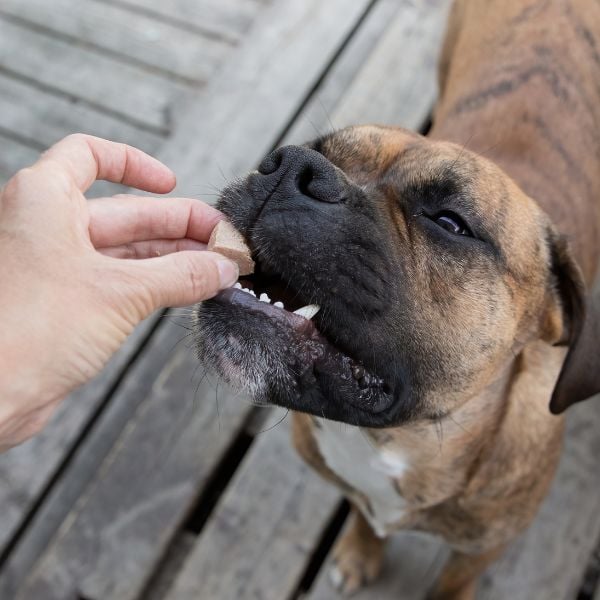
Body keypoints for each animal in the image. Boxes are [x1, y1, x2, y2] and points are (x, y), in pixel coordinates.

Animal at [196, 1, 600, 600]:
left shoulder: (481, 548)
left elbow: (454, 581)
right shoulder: (356, 490)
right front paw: (361, 552)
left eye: (450, 223)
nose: (290, 166)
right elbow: (364, 516)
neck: (392, 440)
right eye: (317, 151)